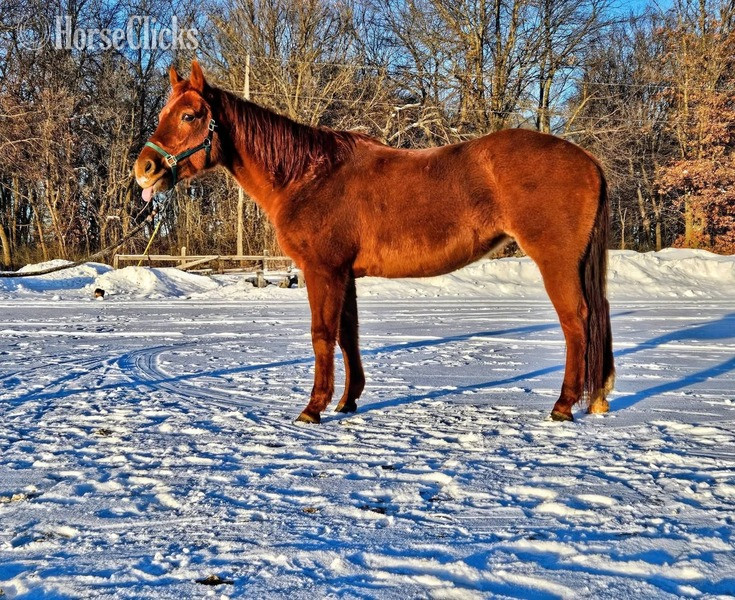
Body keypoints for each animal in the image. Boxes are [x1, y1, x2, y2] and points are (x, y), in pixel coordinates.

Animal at [134, 60, 615, 424]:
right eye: (164, 112)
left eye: (190, 115)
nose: (145, 170)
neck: (308, 175)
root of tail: (588, 161)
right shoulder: (345, 274)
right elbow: (349, 335)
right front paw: (348, 401)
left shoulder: (323, 271)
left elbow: (322, 335)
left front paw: (313, 407)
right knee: (598, 315)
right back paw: (598, 397)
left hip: (555, 260)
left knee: (576, 321)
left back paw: (564, 405)